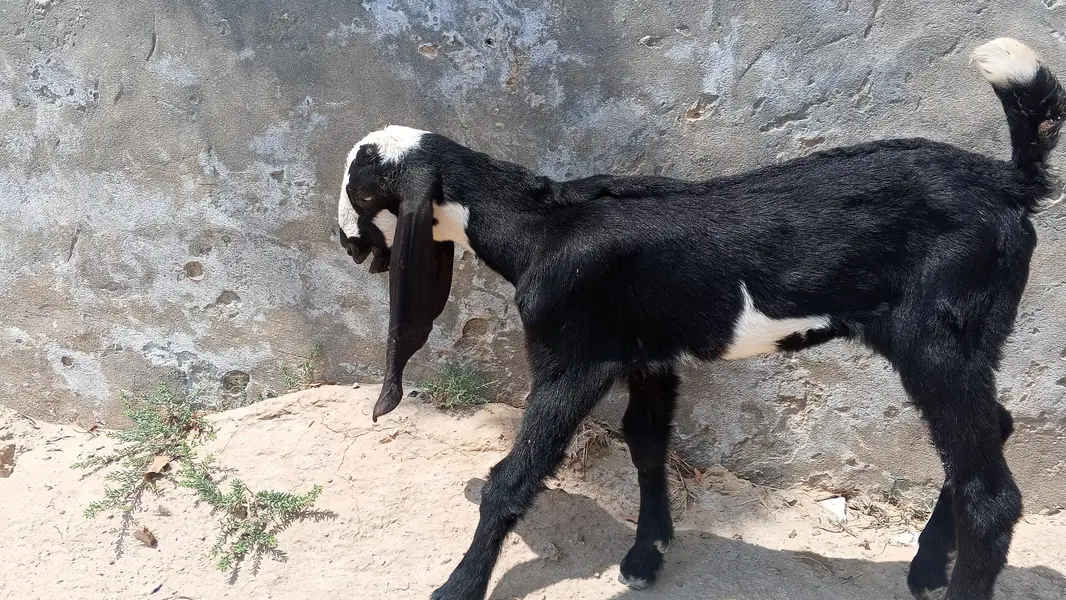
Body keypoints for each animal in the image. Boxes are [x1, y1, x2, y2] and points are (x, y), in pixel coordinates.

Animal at [336, 38, 1064, 600]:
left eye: (364, 192)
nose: (347, 244)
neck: (539, 225)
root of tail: (1009, 182)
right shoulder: (647, 351)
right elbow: (647, 440)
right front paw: (645, 554)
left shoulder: (572, 357)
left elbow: (515, 475)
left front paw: (457, 586)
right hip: (973, 333)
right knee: (989, 432)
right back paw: (926, 565)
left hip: (935, 333)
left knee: (990, 494)